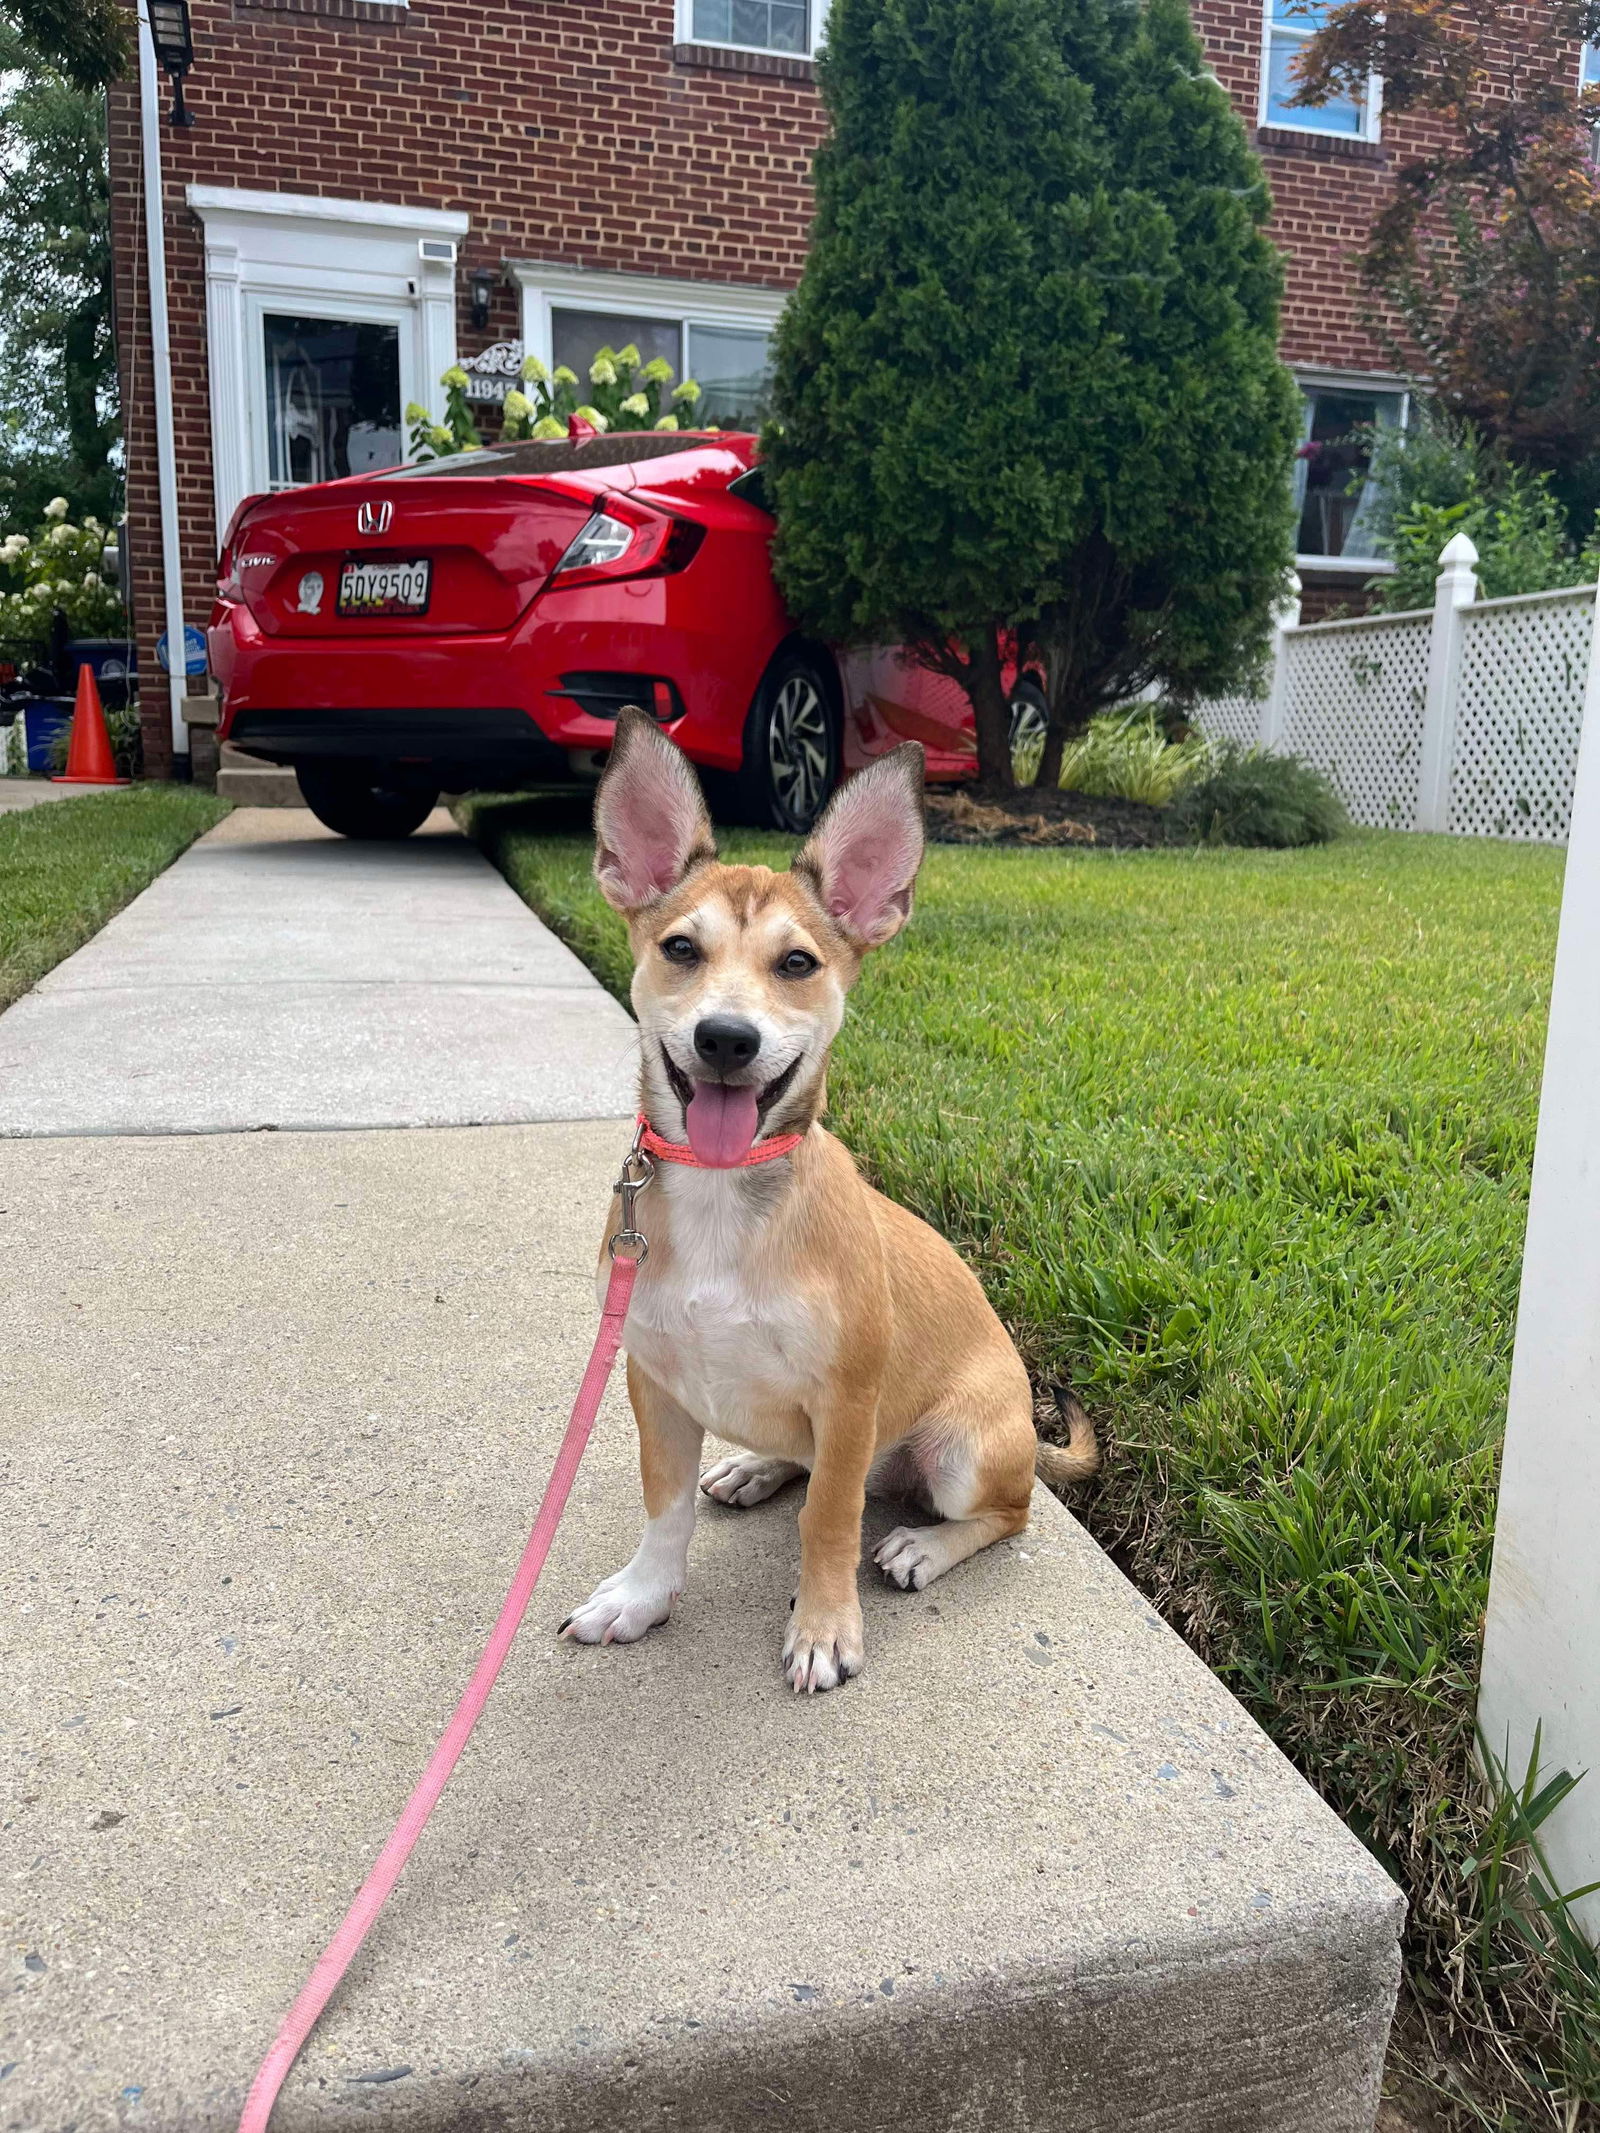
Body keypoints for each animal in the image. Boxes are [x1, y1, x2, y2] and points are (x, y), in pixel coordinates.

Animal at [558, 708, 1100, 1689]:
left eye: (798, 962)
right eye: (680, 948)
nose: (726, 1039)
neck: (725, 1199)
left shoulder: (849, 1401)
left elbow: (831, 1521)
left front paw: (822, 1626)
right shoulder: (653, 1381)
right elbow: (665, 1507)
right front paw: (644, 1596)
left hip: (963, 1451)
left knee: (1007, 1513)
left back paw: (922, 1543)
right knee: (805, 1466)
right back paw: (755, 1467)